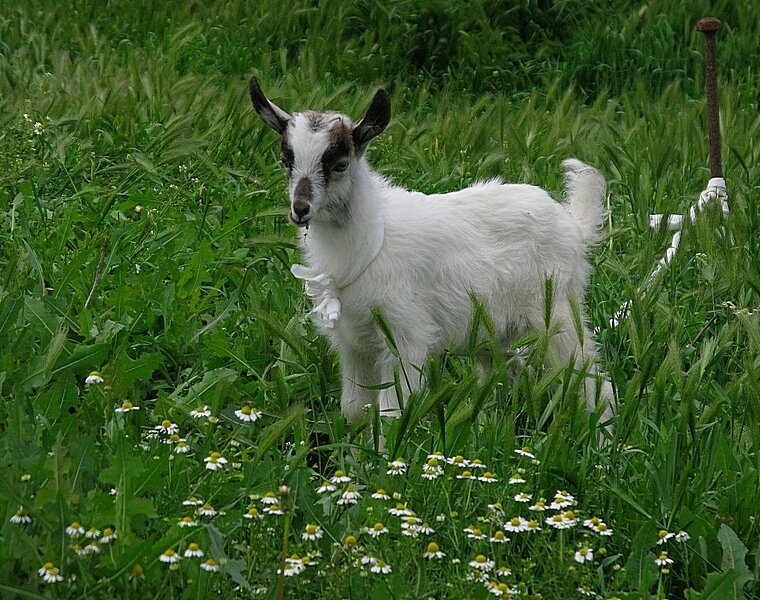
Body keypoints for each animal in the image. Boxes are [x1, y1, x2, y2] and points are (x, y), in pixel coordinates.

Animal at [249, 78, 616, 426]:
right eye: (286, 162)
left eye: (340, 164)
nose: (300, 209)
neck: (371, 239)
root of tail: (571, 222)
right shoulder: (352, 343)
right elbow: (354, 410)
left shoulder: (406, 337)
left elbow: (392, 415)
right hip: (488, 330)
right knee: (510, 370)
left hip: (559, 311)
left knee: (591, 378)